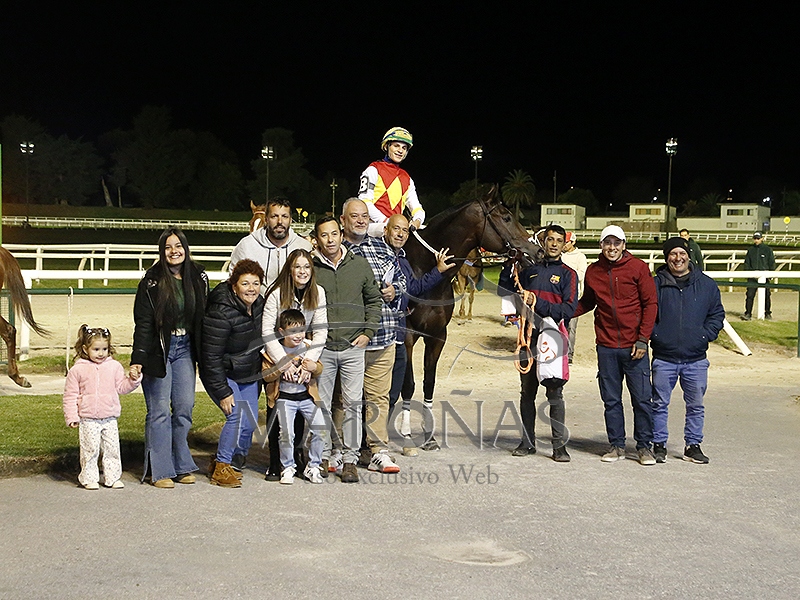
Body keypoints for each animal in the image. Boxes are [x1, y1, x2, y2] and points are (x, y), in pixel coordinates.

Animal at [401, 187, 541, 448]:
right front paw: (405, 434)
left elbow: (428, 383)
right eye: (506, 217)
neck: (423, 268)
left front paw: (429, 436)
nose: (538, 251)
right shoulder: (406, 336)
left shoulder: (437, 336)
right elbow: (407, 383)